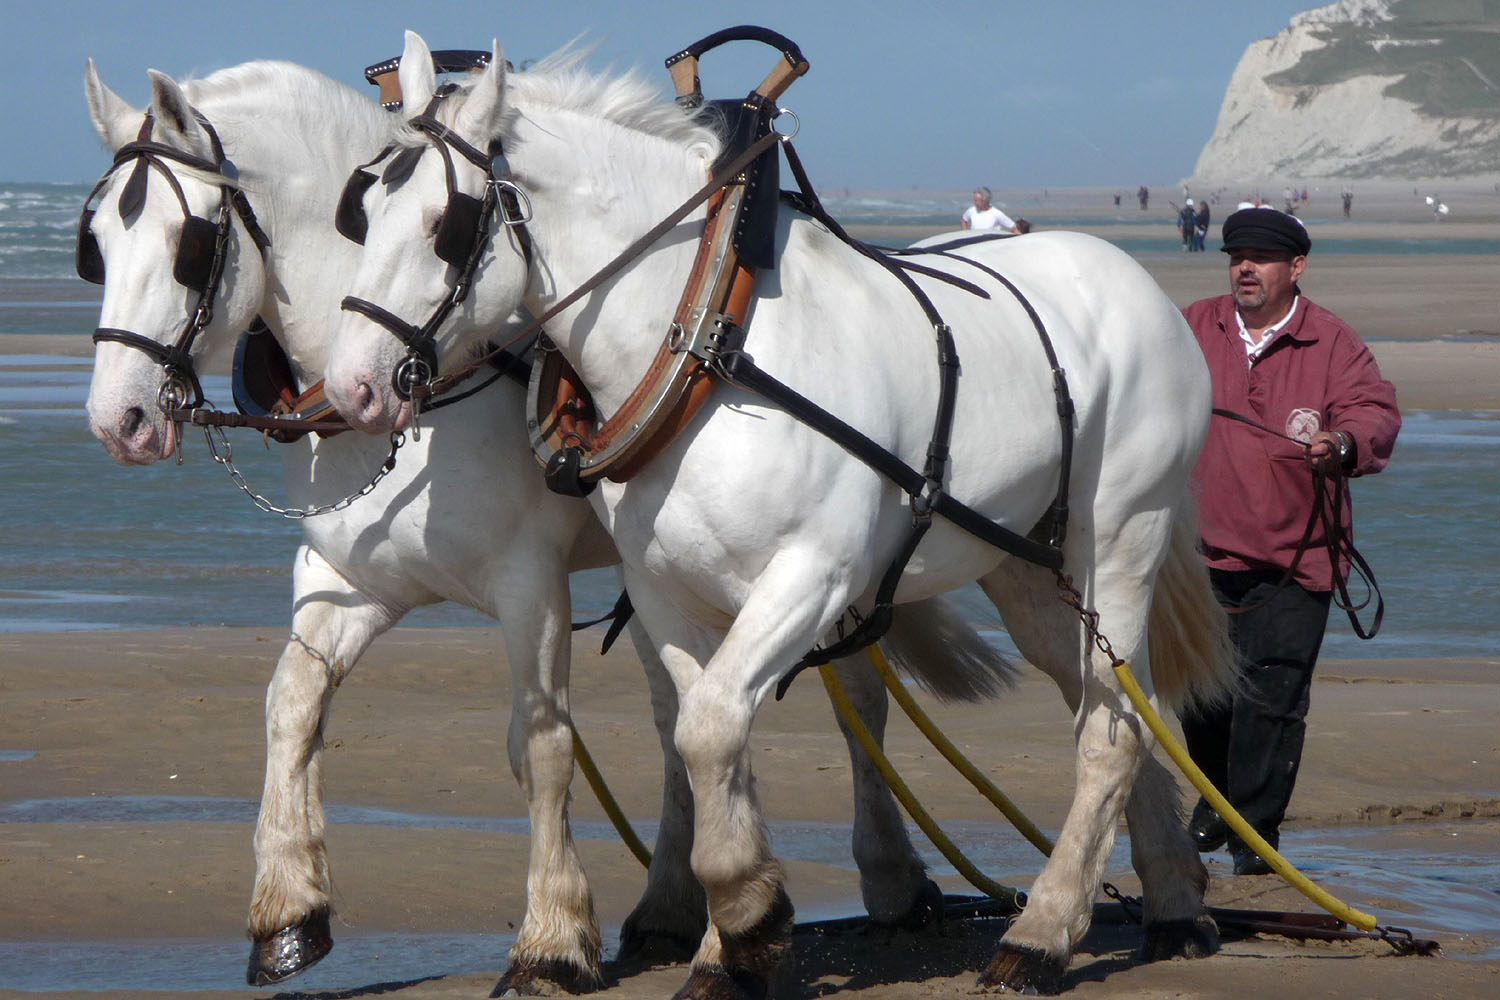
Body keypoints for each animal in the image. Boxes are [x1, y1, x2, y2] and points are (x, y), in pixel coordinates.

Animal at [79, 56, 1008, 995]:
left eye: (188, 243)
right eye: (96, 246)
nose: (118, 420)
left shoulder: (529, 580)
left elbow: (543, 743)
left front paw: (553, 939)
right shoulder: (348, 581)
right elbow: (290, 706)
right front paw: (289, 912)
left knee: (858, 700)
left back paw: (890, 881)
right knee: (678, 714)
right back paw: (674, 907)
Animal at [328, 35, 1242, 995]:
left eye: (445, 224)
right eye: (364, 211)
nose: (352, 387)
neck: (708, 341)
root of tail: (1136, 282)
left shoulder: (812, 575)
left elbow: (708, 731)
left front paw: (744, 918)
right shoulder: (666, 593)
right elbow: (705, 738)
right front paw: (735, 938)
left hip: (1124, 536)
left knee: (1108, 730)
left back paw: (1042, 934)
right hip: (1026, 564)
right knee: (1119, 703)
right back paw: (1174, 902)